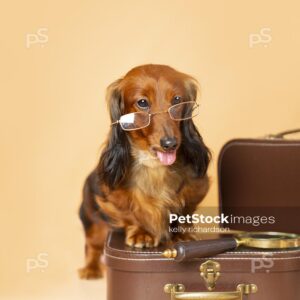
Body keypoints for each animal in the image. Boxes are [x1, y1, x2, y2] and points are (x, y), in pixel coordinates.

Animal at [78, 63, 210, 278]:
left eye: (177, 100)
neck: (154, 164)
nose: (170, 144)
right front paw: (142, 233)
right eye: (142, 102)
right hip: (93, 220)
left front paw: (181, 232)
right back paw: (91, 268)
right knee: (92, 245)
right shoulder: (111, 196)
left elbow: (183, 211)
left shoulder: (196, 187)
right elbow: (130, 212)